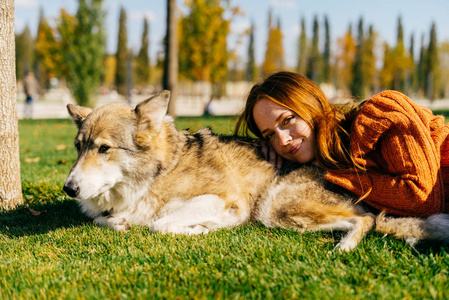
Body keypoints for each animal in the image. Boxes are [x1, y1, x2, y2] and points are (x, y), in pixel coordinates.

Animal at [63, 90, 448, 252]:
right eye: (79, 147)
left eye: (103, 148)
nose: (68, 189)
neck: (154, 175)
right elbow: (111, 221)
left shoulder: (228, 200)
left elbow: (160, 225)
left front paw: (201, 229)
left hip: (273, 206)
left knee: (366, 220)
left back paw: (344, 248)